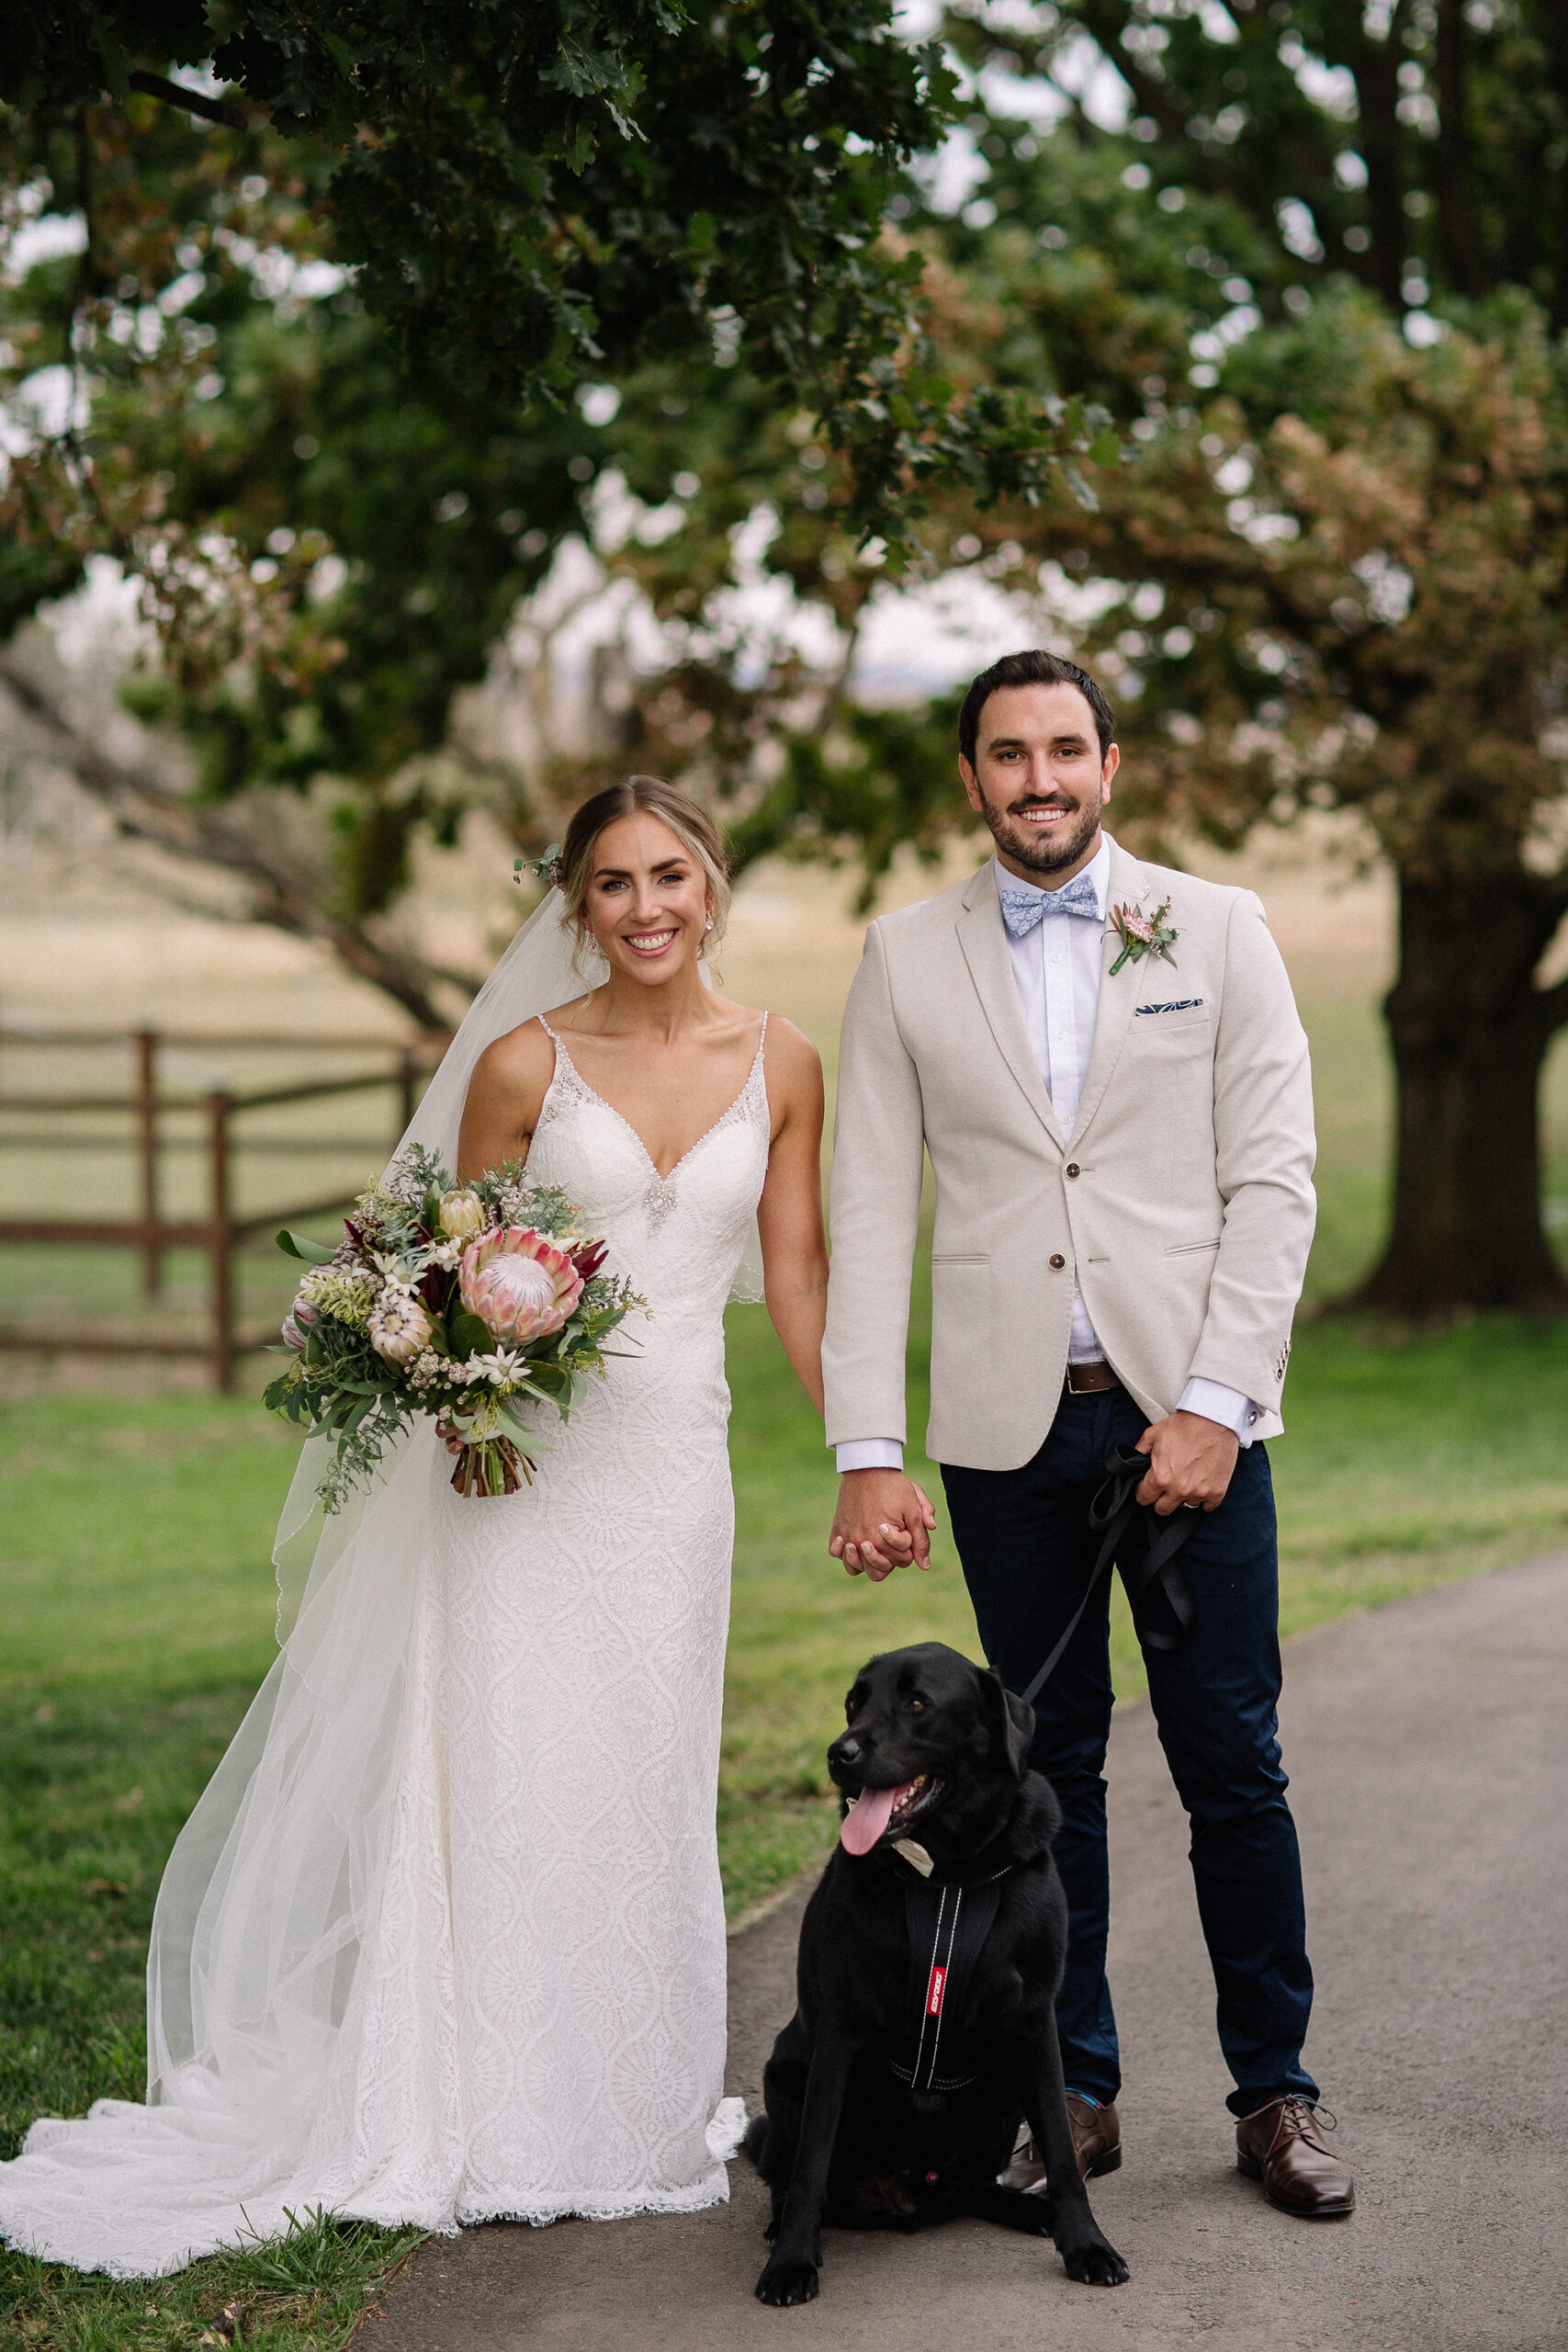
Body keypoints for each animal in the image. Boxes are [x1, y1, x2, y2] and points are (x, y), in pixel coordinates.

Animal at [747, 1646, 1128, 2304]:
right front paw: (792, 2262)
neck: (950, 1874)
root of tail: (911, 2196)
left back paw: (1034, 2212)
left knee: (977, 2188)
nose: (838, 1754)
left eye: (917, 1703)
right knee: (789, 2175)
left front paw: (1086, 2244)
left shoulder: (1033, 2024)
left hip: (1003, 2084)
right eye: (853, 1702)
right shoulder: (840, 2032)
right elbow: (812, 2163)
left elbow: (1059, 2145)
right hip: (787, 2072)